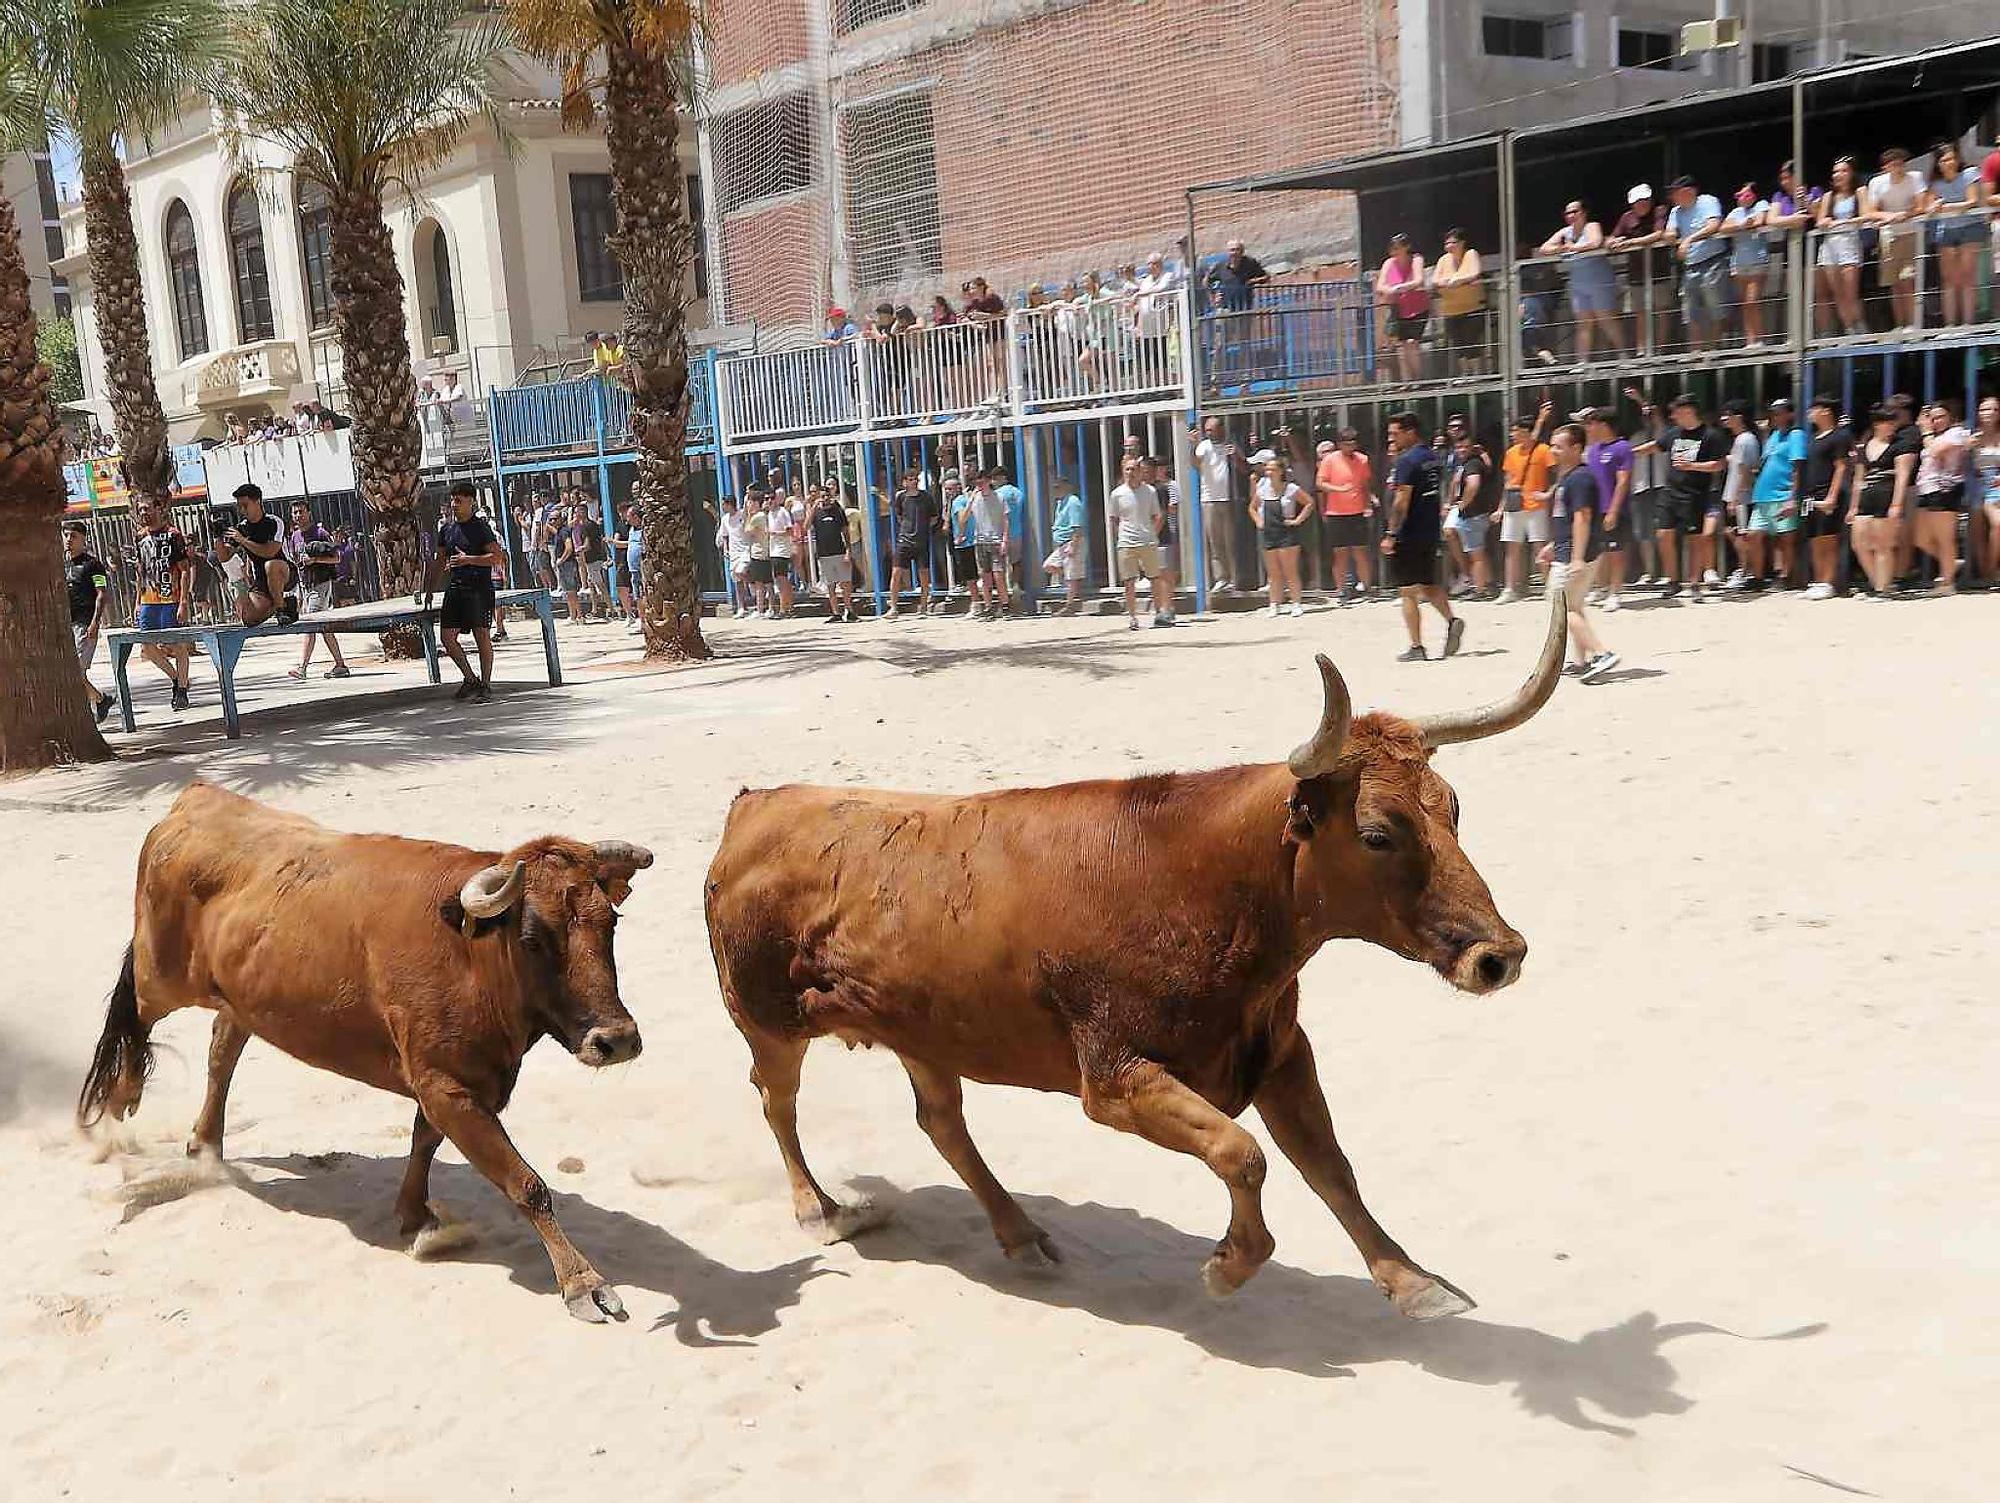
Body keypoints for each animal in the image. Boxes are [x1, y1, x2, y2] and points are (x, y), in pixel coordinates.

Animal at [80, 779, 656, 1319]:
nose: (616, 1040)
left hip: (240, 996)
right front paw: (582, 1282)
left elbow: (425, 1140)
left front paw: (415, 1215)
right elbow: (525, 1183)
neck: (469, 952)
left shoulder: (448, 1081)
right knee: (136, 1018)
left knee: (222, 1049)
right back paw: (121, 1104)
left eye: (610, 924)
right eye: (534, 939)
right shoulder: (448, 1086)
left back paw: (205, 1145)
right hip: (161, 974)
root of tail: (197, 797)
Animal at [712, 591, 1568, 1319]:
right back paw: (820, 1209)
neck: (1193, 880)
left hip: (924, 1026)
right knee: (777, 1102)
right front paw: (1230, 1263)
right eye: (1378, 833)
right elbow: (1243, 1153)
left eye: (1453, 808)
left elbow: (1329, 1165)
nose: (1500, 953)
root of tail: (758, 804)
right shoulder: (1116, 1078)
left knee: (942, 1120)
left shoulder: (1280, 1053)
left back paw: (1020, 1233)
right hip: (767, 1019)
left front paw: (1410, 1278)